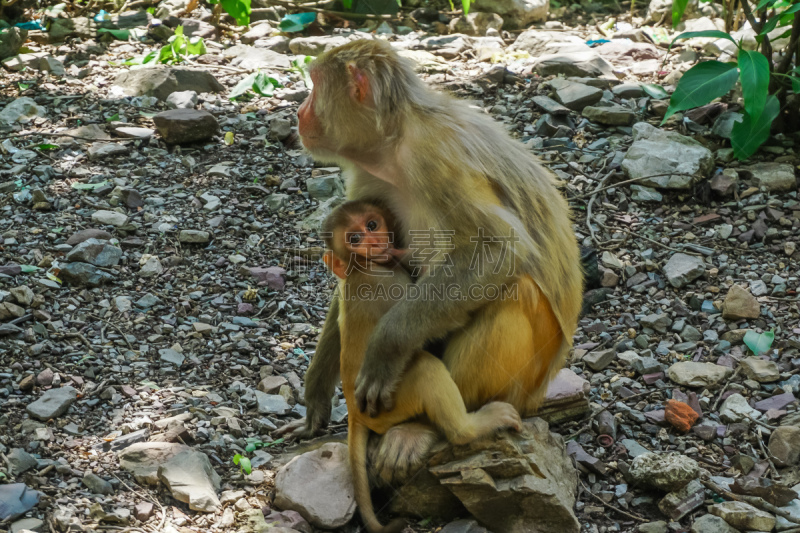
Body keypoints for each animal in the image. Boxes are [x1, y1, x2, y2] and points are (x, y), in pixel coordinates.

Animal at [280, 36, 580, 478]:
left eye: (315, 85)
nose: (299, 111)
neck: (395, 142)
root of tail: (541, 392)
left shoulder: (436, 157)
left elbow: (500, 249)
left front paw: (386, 348)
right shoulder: (369, 177)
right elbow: (350, 275)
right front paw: (316, 391)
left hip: (523, 386)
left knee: (516, 290)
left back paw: (431, 427)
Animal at [322, 200, 520, 532]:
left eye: (372, 225)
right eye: (354, 239)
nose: (374, 242)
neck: (364, 268)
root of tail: (354, 411)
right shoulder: (386, 282)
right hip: (391, 404)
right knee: (426, 368)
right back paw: (471, 428)